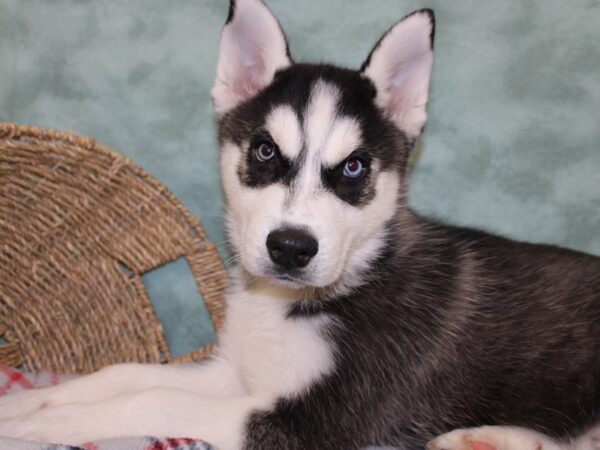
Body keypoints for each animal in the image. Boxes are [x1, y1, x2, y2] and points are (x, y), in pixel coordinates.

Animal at [1, 0, 600, 450]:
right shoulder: (237, 371)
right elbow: (123, 375)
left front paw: (45, 424)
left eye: (353, 167)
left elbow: (156, 400)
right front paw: (27, 402)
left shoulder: (312, 421)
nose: (290, 248)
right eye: (265, 151)